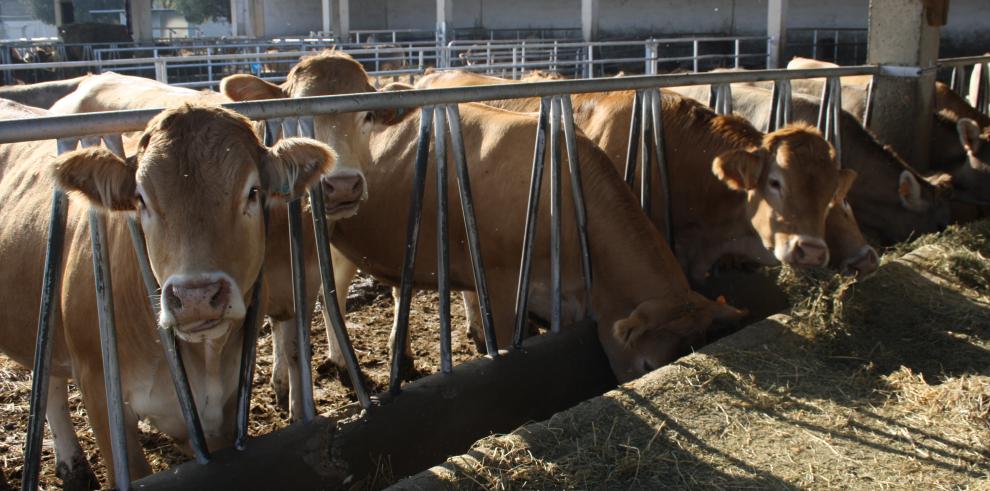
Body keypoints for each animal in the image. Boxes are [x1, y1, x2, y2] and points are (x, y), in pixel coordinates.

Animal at [0, 104, 336, 488]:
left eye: (253, 191)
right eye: (141, 199)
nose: (195, 297)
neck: (202, 359)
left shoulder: (225, 409)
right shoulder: (98, 389)